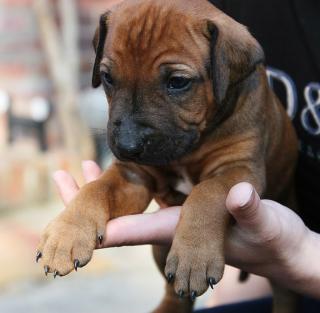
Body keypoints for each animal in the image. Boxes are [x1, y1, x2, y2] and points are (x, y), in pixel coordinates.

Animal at [36, 0, 298, 312]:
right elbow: (95, 188)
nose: (127, 146)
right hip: (160, 249)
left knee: (285, 291)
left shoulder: (238, 169)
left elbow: (207, 192)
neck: (190, 147)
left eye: (178, 82)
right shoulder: (133, 175)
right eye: (108, 77)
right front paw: (66, 234)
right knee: (175, 292)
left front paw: (193, 255)